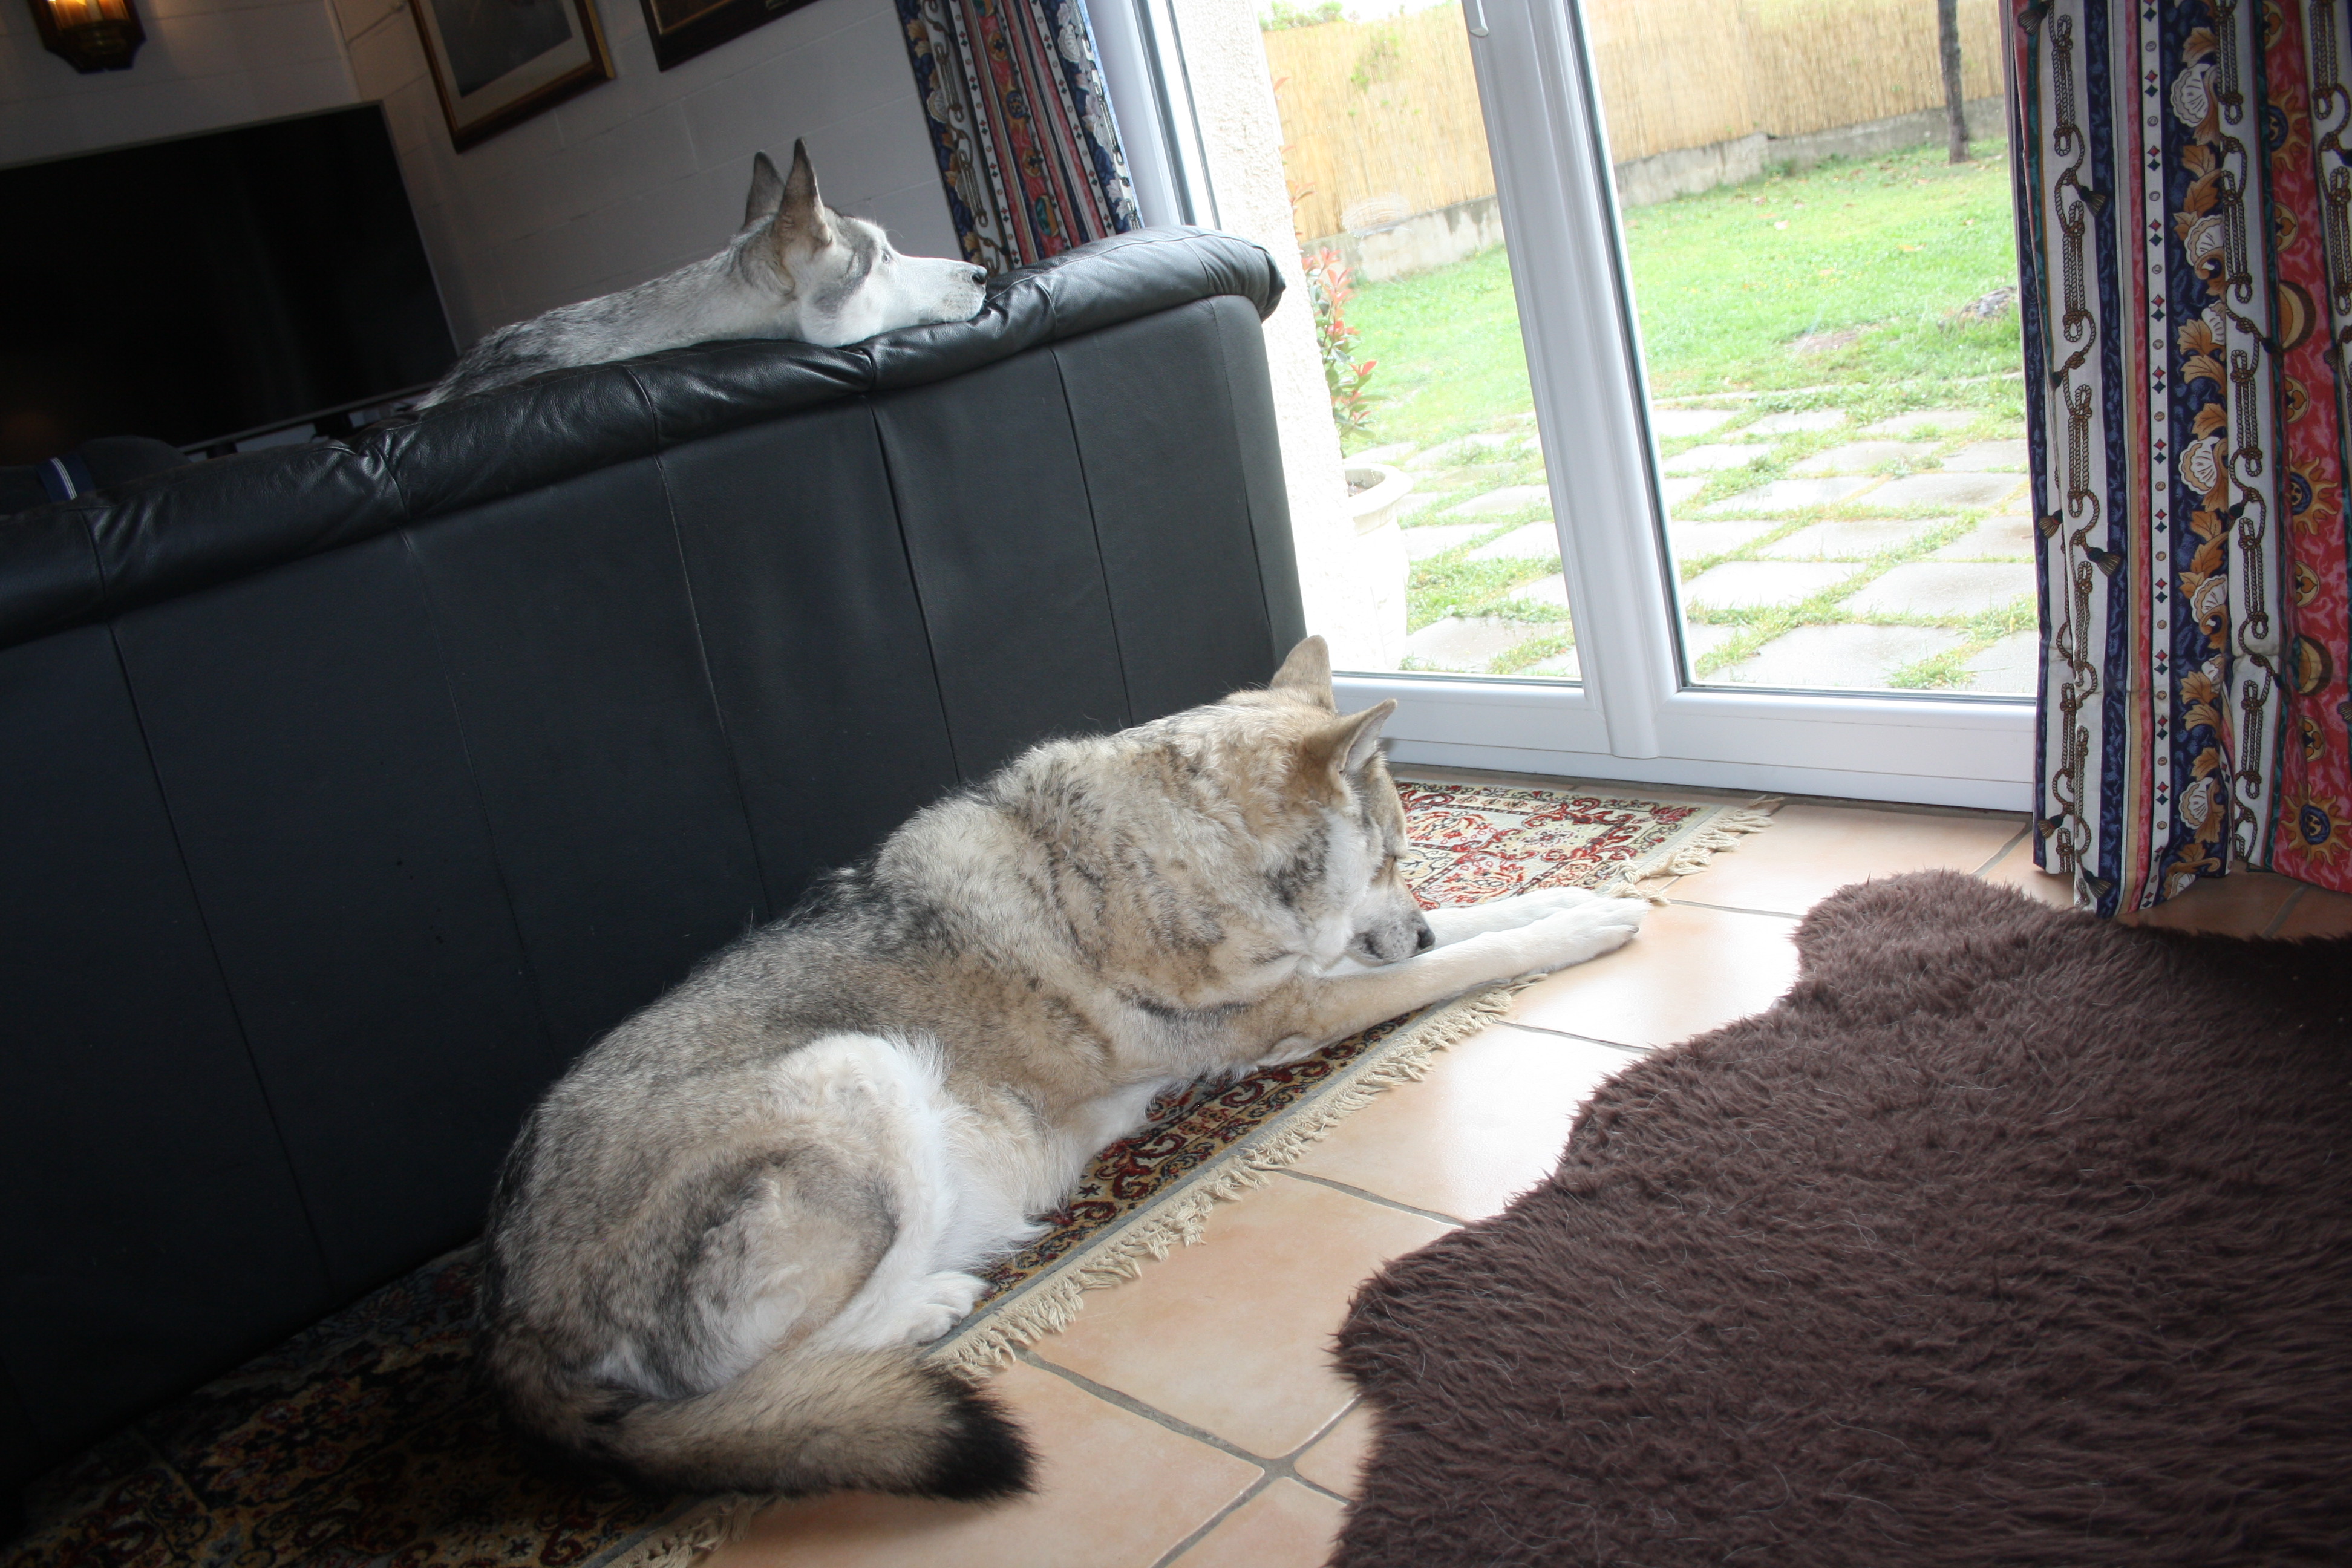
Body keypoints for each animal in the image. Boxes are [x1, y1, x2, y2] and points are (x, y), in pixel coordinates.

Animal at [477, 637, 1644, 1500]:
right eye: (1397, 853)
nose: (1418, 926)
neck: (1181, 845)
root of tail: (509, 1312)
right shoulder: (1298, 1006)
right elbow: (1480, 954)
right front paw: (1578, 927)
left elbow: (1495, 917)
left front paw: (1574, 893)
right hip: (859, 1076)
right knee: (780, 1368)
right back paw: (937, 1301)